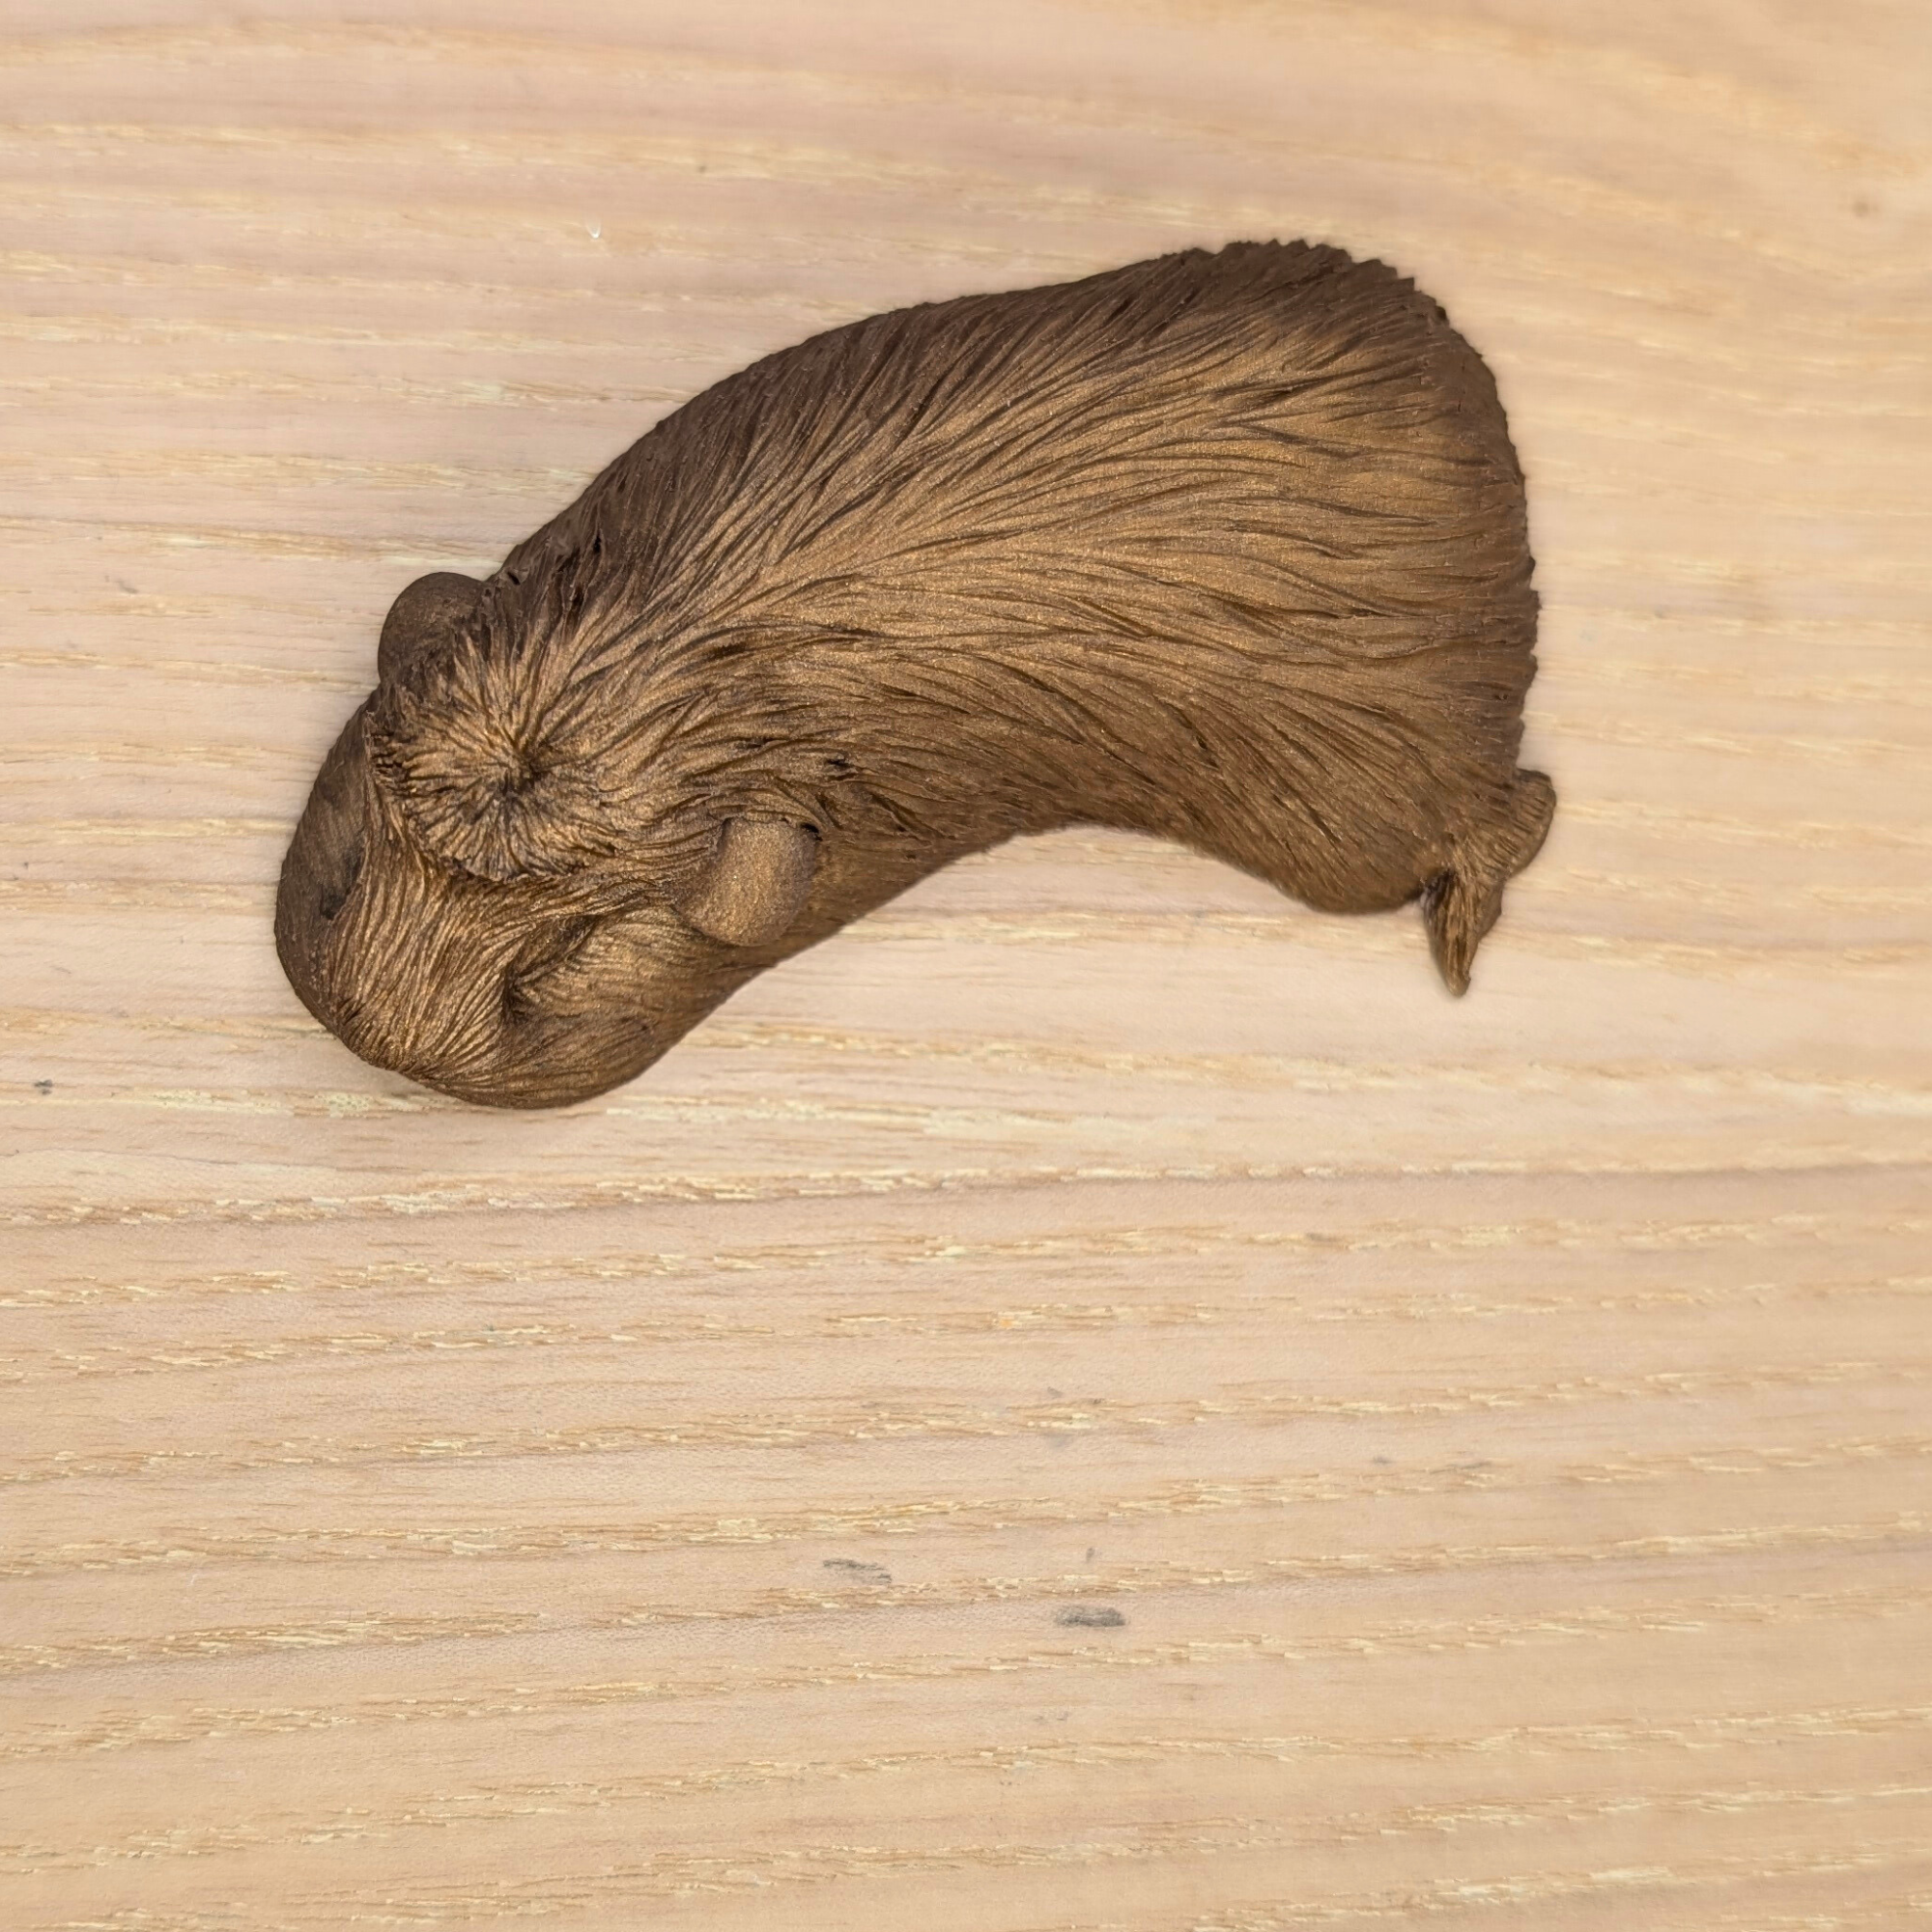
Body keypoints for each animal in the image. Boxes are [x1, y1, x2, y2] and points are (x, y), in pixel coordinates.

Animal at [277, 240, 1554, 1108]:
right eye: (354, 863)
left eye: (568, 948)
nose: (378, 1025)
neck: (674, 661)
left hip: (1349, 815)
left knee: (1517, 806)